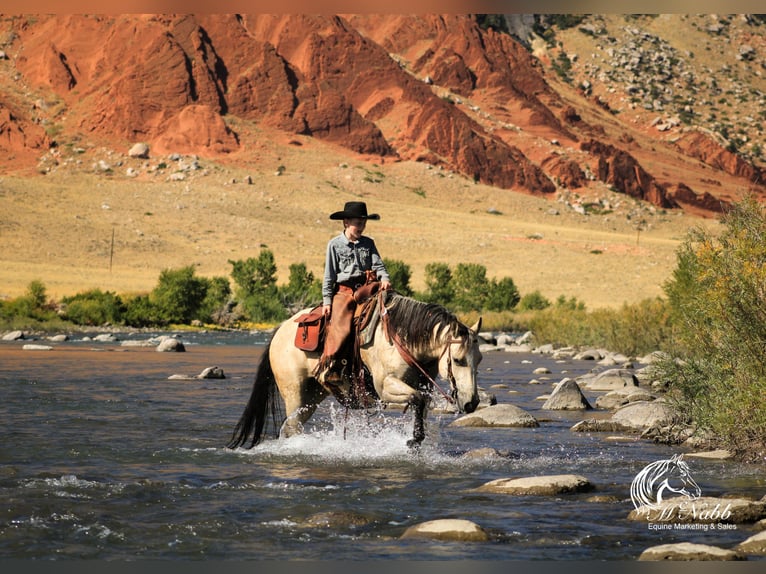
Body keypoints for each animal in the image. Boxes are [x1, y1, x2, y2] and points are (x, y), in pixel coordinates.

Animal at [225, 292, 484, 450]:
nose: (471, 403)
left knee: (290, 426)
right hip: (294, 393)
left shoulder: (423, 388)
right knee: (291, 426)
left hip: (313, 396)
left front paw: (418, 442)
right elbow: (416, 400)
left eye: (479, 359)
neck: (402, 338)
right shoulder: (386, 387)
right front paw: (414, 440)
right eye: (458, 360)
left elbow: (421, 405)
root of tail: (279, 332)